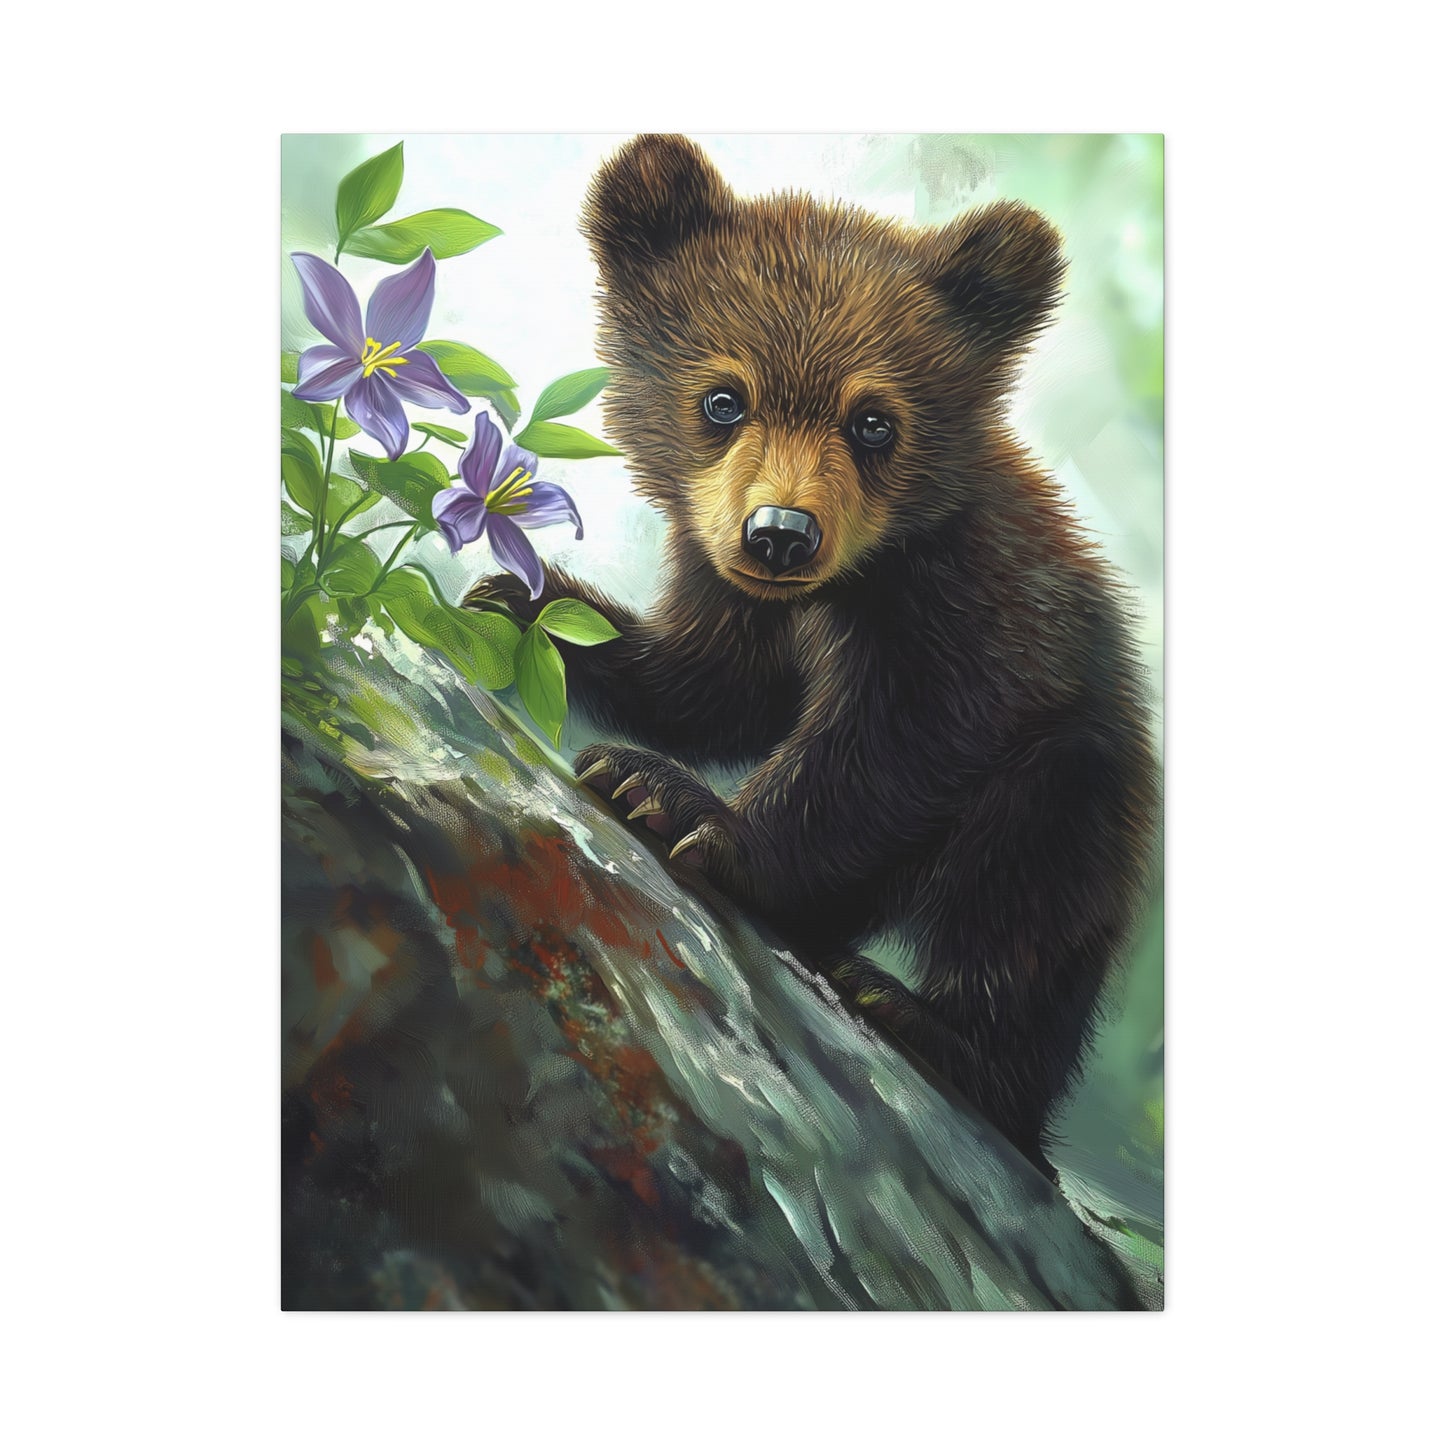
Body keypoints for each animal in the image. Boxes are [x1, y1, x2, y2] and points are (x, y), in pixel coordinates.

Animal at [466, 134, 1159, 1177]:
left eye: (874, 419)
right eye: (723, 397)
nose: (780, 534)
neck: (836, 591)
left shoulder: (963, 613)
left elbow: (889, 747)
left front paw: (677, 800)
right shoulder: (727, 582)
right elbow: (713, 686)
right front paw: (525, 601)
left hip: (1083, 781)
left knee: (1031, 890)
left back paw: (923, 1018)